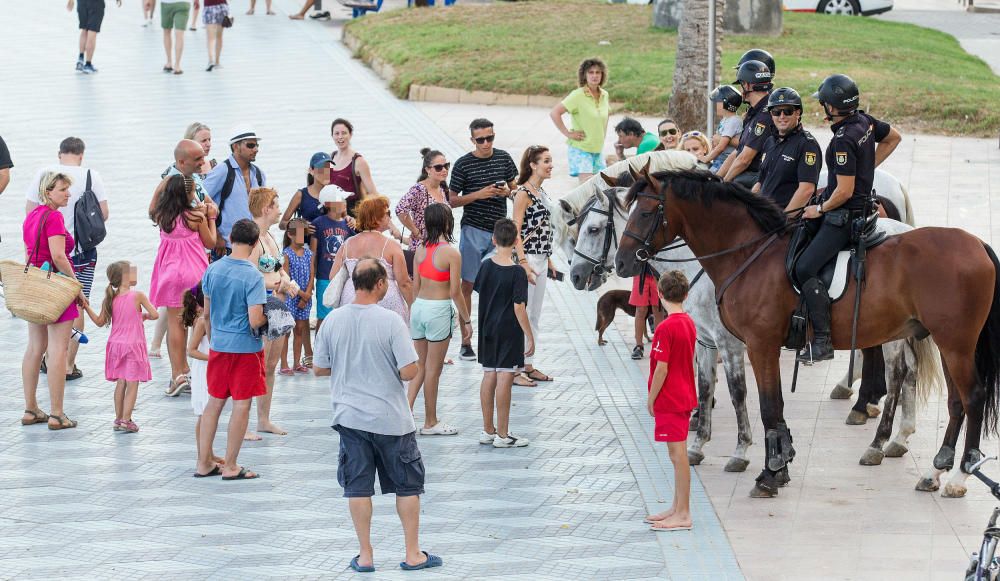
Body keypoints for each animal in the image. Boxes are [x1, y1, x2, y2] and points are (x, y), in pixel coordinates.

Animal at [616, 167, 1000, 498]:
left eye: (646, 213)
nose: (621, 262)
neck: (748, 253)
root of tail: (976, 243)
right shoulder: (729, 344)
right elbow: (764, 403)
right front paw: (779, 465)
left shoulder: (757, 345)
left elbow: (767, 406)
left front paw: (768, 471)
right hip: (943, 342)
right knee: (953, 400)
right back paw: (933, 470)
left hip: (955, 344)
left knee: (970, 397)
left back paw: (956, 475)